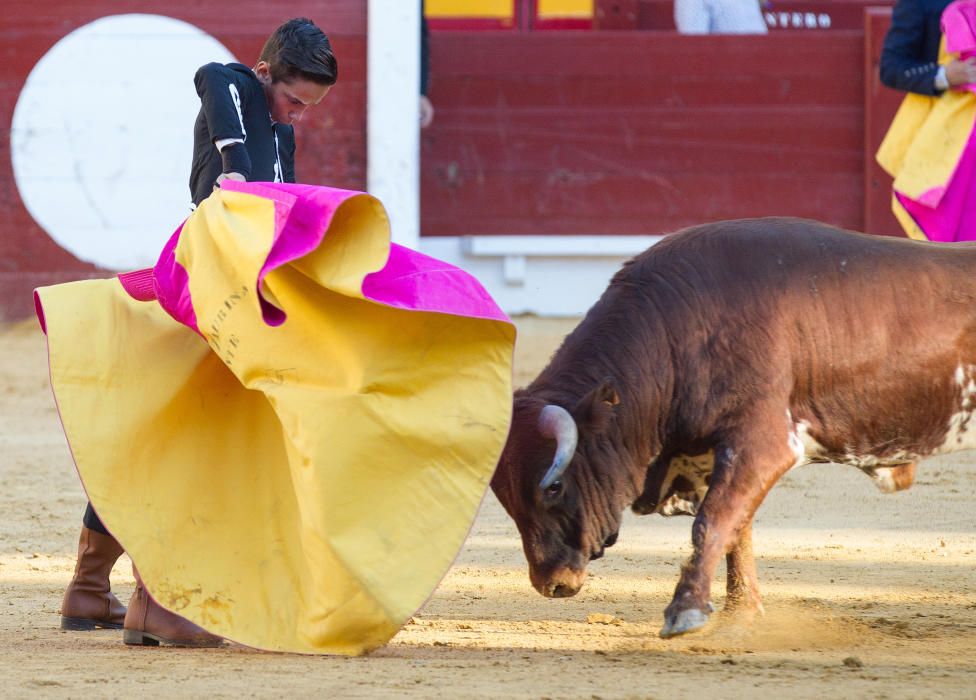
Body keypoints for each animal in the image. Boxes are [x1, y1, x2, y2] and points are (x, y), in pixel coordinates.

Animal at [492, 219, 976, 640]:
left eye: (553, 487)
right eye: (505, 497)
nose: (551, 582)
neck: (675, 333)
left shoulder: (764, 443)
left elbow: (714, 519)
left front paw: (685, 611)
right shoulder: (716, 456)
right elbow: (737, 530)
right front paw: (739, 614)